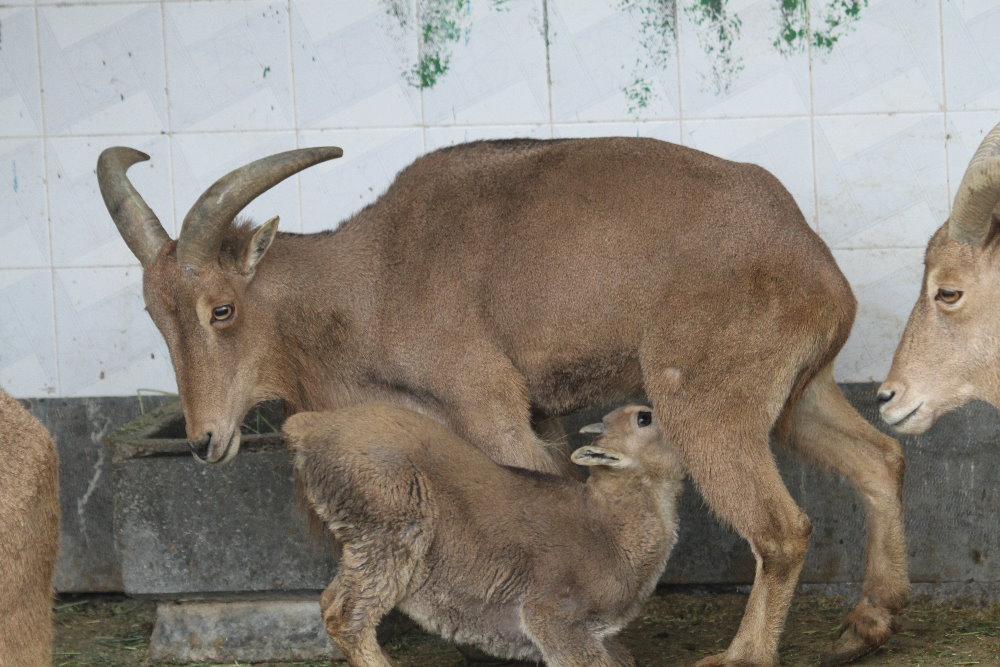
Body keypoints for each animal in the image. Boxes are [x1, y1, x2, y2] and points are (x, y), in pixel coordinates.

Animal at [283, 400, 686, 667]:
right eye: (645, 417)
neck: (610, 529)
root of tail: (311, 426)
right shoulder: (556, 620)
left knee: (330, 602)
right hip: (392, 528)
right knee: (347, 618)